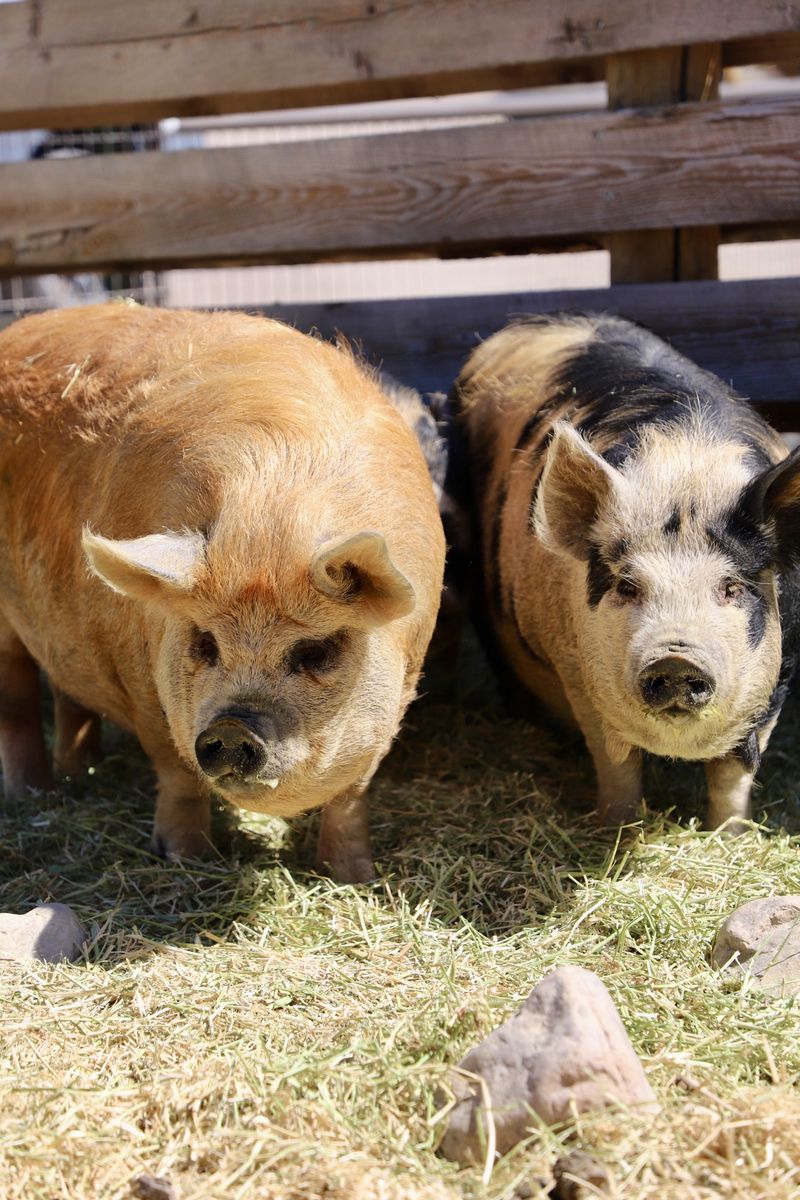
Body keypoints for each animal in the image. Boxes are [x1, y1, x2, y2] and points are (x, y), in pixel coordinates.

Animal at [0, 304, 445, 882]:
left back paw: (80, 775)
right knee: (16, 693)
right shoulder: (144, 683)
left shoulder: (401, 684)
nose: (234, 726)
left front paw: (352, 875)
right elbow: (176, 774)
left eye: (315, 651)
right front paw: (187, 859)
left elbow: (351, 796)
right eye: (206, 643)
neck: (269, 522)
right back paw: (32, 794)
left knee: (67, 690)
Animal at [454, 313, 800, 830]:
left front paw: (730, 832)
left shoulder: (777, 686)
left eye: (732, 587)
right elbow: (616, 763)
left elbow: (732, 776)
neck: (686, 471)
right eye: (627, 585)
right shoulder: (579, 672)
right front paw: (615, 827)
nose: (675, 657)